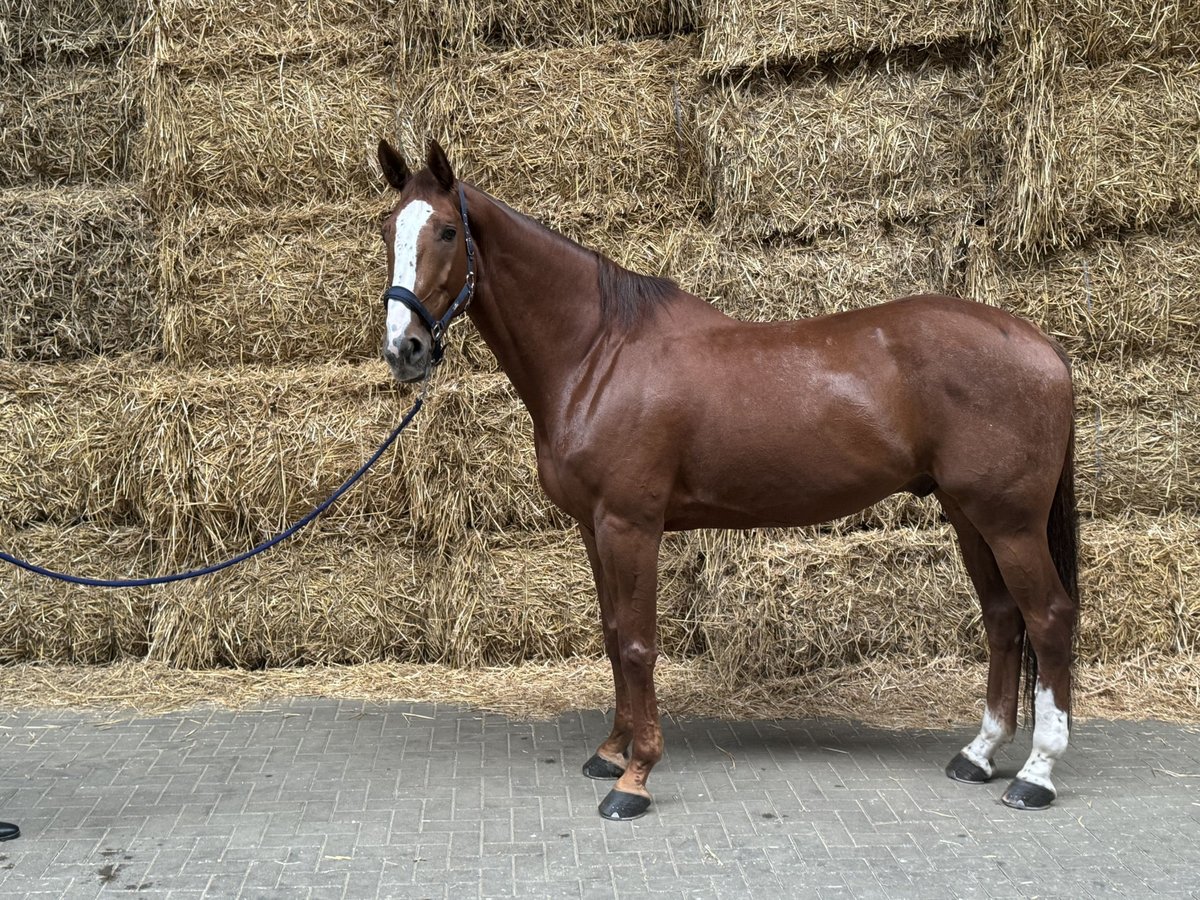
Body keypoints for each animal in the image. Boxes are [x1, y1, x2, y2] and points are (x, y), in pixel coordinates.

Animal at [372, 137, 1080, 820]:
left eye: (445, 231)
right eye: (387, 229)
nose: (403, 349)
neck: (600, 353)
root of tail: (1042, 345)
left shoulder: (630, 525)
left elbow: (637, 643)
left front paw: (635, 778)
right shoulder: (594, 528)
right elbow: (612, 634)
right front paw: (611, 750)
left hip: (1010, 523)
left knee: (1046, 617)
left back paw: (1037, 774)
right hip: (968, 514)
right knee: (1002, 618)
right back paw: (979, 754)